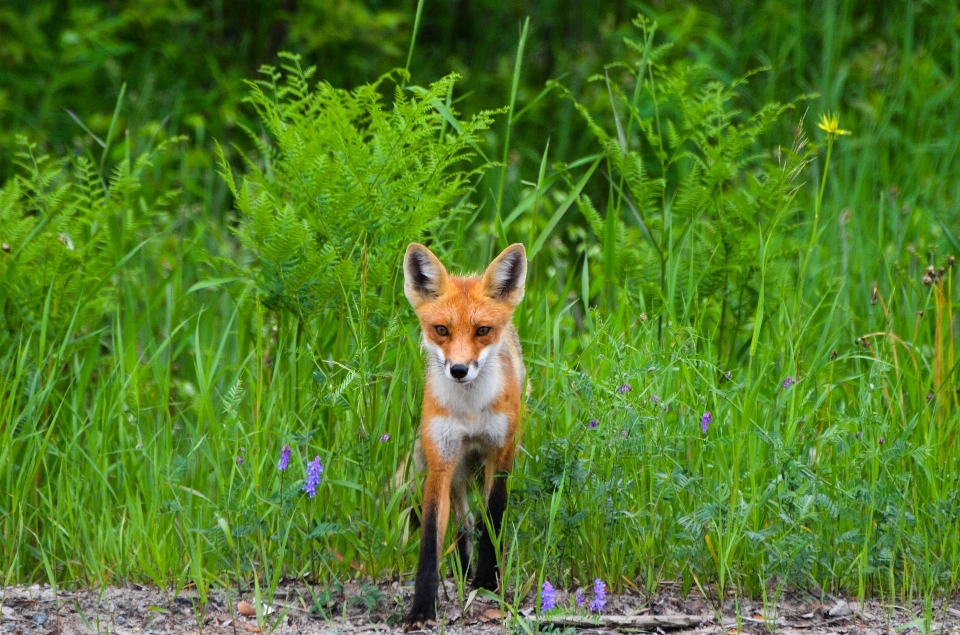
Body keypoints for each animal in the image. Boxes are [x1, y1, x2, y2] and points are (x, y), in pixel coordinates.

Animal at [402, 243, 528, 632]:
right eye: (441, 329)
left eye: (482, 330)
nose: (458, 370)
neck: (471, 412)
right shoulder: (440, 462)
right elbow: (431, 539)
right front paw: (421, 609)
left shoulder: (500, 452)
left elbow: (493, 517)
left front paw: (487, 580)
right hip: (454, 468)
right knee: (461, 523)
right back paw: (461, 568)